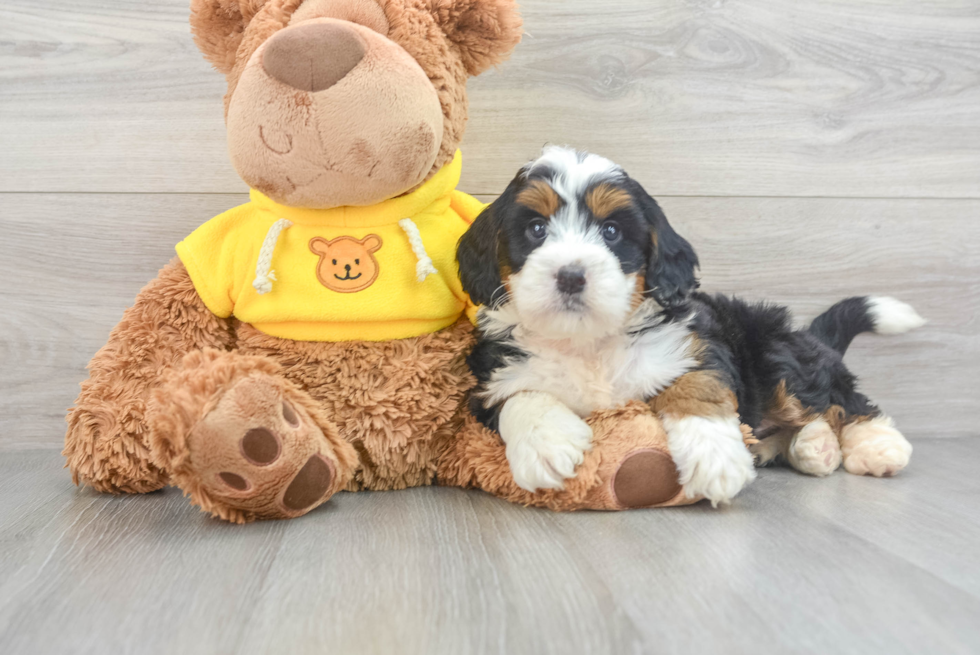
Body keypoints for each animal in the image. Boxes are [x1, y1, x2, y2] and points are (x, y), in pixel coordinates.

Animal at [456, 147, 924, 508]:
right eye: (536, 229)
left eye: (611, 231)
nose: (571, 276)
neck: (588, 342)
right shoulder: (490, 372)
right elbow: (519, 394)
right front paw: (548, 444)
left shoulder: (694, 344)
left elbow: (698, 387)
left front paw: (715, 457)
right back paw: (813, 447)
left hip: (776, 351)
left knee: (841, 398)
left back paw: (875, 444)